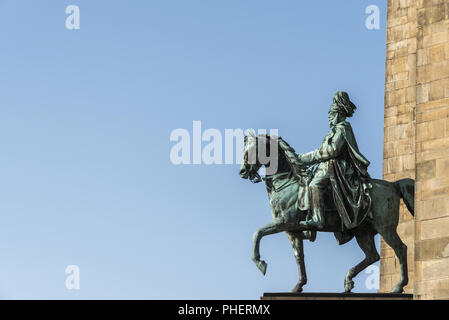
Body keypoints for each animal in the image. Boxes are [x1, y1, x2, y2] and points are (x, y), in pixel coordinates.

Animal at [238, 132, 412, 292]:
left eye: (252, 150)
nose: (242, 171)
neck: (286, 182)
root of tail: (393, 185)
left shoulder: (285, 222)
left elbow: (258, 233)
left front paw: (259, 262)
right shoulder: (292, 231)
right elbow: (299, 257)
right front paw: (299, 285)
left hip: (385, 228)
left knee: (400, 249)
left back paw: (398, 286)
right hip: (362, 232)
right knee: (372, 256)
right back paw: (348, 280)